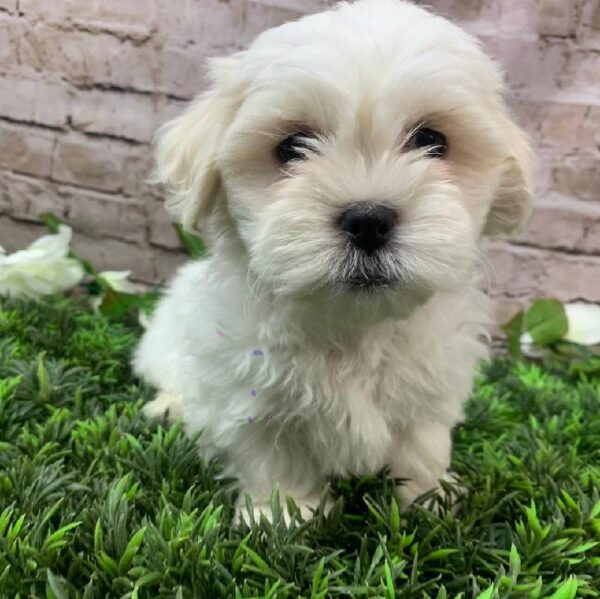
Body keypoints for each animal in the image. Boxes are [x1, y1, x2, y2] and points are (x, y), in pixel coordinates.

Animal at [134, 0, 532, 516]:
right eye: (291, 147)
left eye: (432, 141)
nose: (368, 220)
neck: (354, 328)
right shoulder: (251, 394)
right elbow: (272, 456)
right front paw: (284, 515)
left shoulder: (429, 389)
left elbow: (422, 445)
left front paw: (428, 500)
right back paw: (168, 408)